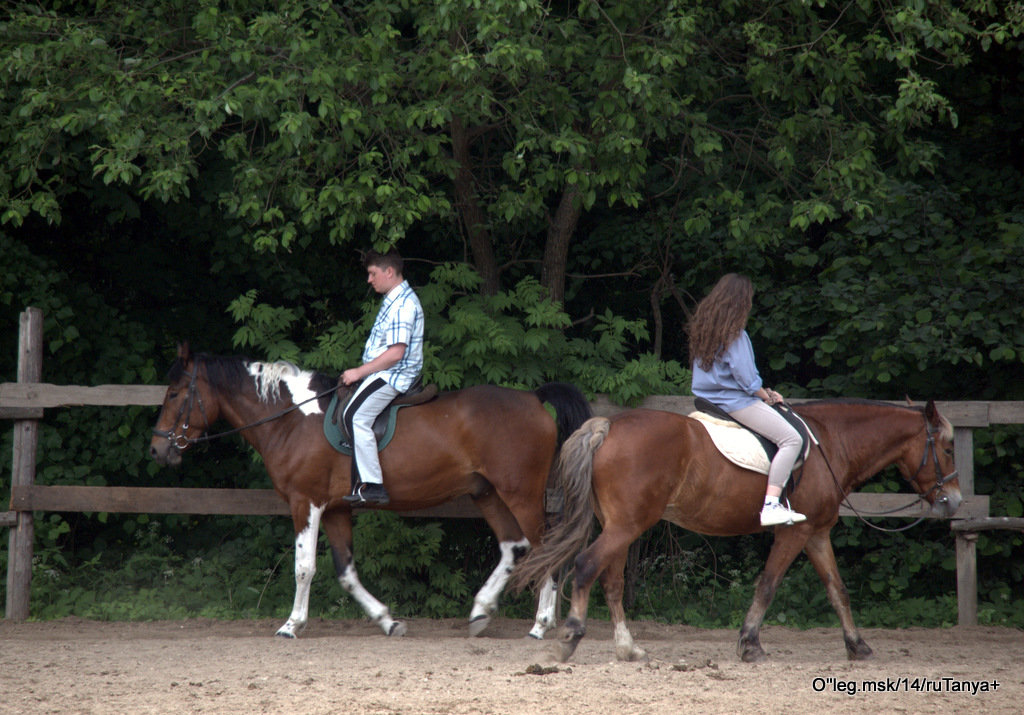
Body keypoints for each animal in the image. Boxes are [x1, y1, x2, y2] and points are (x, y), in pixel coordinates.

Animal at [147, 342, 589, 639]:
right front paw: (387, 620)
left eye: (174, 394)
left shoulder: (305, 502)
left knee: (547, 547)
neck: (291, 419)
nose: (157, 449)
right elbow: (345, 572)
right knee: (515, 546)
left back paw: (540, 624)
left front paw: (291, 625)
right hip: (488, 493)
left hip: (521, 492)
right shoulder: (336, 509)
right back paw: (481, 612)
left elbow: (304, 566)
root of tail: (532, 398)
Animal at [516, 397, 962, 659]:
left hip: (621, 526)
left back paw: (628, 648)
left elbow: (838, 590)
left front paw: (857, 645)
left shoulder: (817, 534)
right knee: (587, 567)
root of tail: (606, 426)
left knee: (610, 580)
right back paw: (571, 637)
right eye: (947, 447)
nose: (954, 501)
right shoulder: (794, 534)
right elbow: (768, 584)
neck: (830, 445)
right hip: (626, 525)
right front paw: (749, 644)